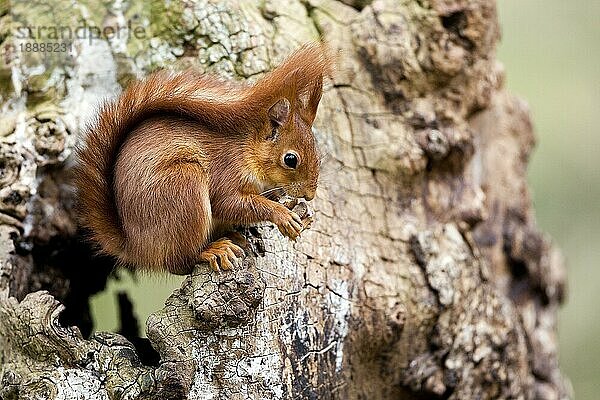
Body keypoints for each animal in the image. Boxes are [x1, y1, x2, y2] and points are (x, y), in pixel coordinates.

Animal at [74, 44, 332, 276]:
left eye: (318, 151)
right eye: (290, 159)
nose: (310, 195)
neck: (247, 151)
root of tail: (136, 247)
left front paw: (295, 208)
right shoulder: (225, 170)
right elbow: (230, 203)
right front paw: (282, 214)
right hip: (183, 188)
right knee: (179, 263)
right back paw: (212, 250)